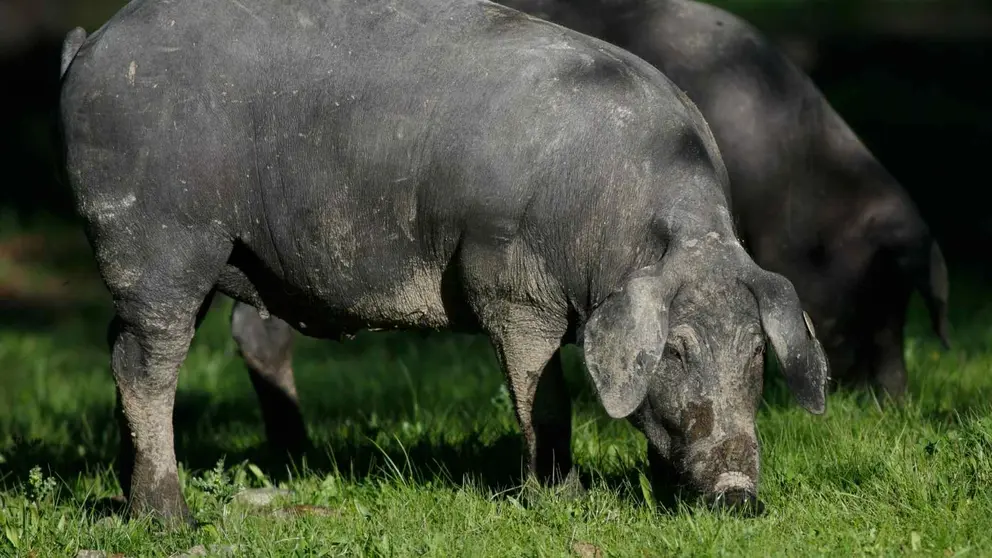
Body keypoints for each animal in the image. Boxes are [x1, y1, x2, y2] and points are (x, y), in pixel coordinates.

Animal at [60, 0, 829, 524]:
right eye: (675, 349)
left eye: (756, 353)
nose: (739, 495)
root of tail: (89, 45)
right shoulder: (507, 284)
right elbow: (542, 395)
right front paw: (560, 499)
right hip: (154, 238)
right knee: (147, 364)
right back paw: (172, 519)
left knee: (119, 344)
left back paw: (138, 496)